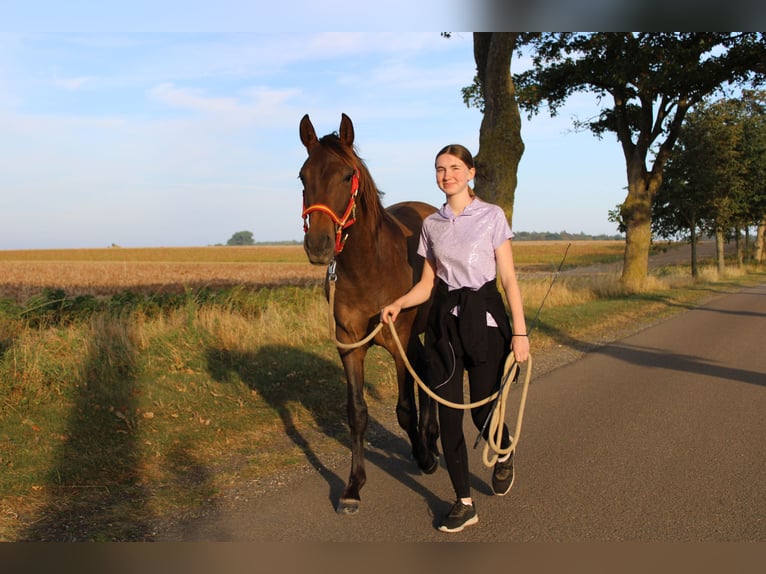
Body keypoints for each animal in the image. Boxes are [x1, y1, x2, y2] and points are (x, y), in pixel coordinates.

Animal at [302, 112, 444, 512]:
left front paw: (424, 458)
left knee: (430, 376)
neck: (370, 267)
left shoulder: (398, 344)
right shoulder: (349, 346)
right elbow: (357, 413)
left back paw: (431, 443)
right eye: (303, 176)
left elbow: (404, 408)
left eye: (347, 175)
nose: (318, 245)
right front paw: (353, 486)